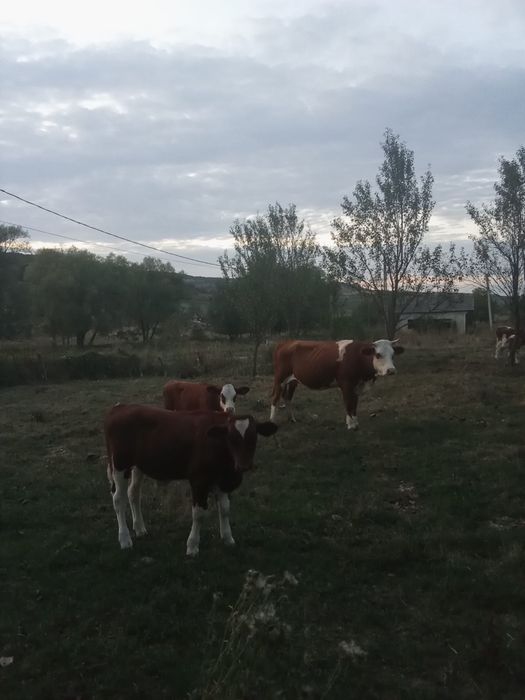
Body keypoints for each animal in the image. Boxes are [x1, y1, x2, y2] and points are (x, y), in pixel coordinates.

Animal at [104, 404, 277, 554]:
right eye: (231, 438)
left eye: (254, 437)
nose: (244, 465)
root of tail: (120, 407)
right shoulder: (199, 481)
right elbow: (198, 514)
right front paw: (192, 545)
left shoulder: (221, 481)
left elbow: (225, 509)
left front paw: (228, 538)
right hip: (120, 464)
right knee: (118, 499)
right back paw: (125, 539)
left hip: (138, 466)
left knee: (133, 493)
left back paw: (140, 528)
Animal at [270, 339, 404, 430]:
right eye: (378, 354)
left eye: (393, 355)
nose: (391, 370)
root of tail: (286, 342)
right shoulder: (346, 385)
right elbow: (348, 403)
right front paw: (351, 425)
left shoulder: (357, 386)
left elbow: (354, 404)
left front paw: (355, 423)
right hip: (279, 378)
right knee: (275, 398)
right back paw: (272, 421)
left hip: (293, 380)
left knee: (287, 397)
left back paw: (292, 419)